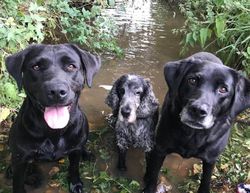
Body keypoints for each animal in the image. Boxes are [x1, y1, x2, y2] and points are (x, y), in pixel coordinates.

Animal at [4, 43, 100, 193]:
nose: (56, 91)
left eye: (71, 66)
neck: (53, 131)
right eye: (36, 67)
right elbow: (18, 183)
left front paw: (75, 184)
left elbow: (74, 168)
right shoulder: (20, 160)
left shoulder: (75, 151)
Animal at [143, 52, 250, 193]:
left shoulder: (210, 160)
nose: (198, 110)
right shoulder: (159, 150)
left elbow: (206, 181)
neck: (193, 134)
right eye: (192, 80)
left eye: (223, 89)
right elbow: (153, 175)